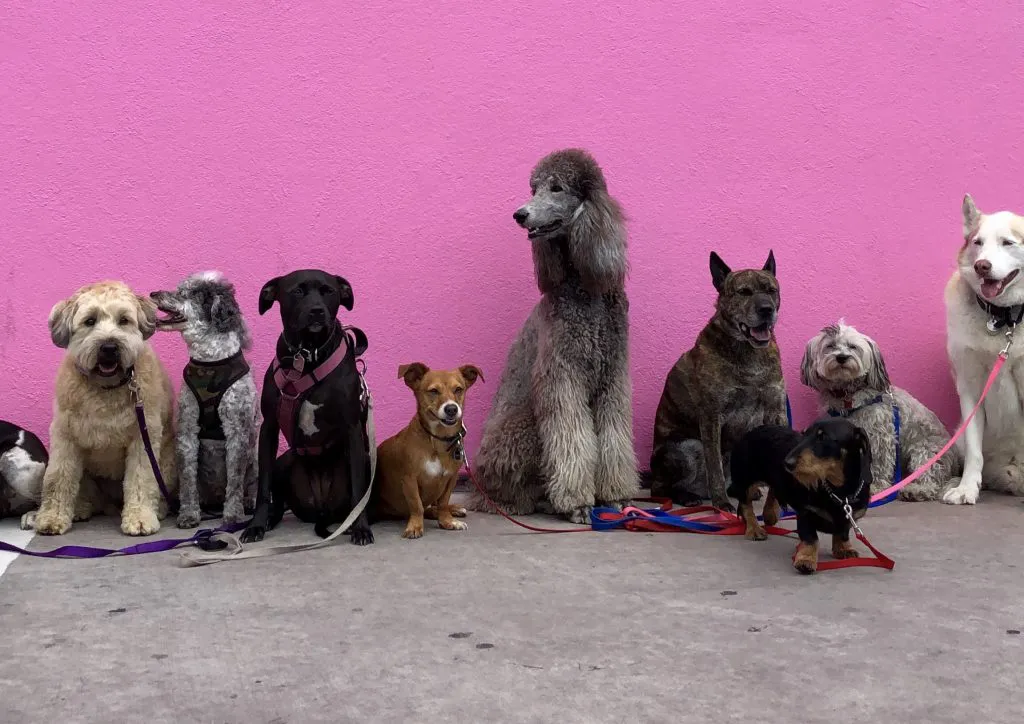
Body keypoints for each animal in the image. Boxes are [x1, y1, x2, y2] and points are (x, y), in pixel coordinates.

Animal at [149, 272, 258, 528]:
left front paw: (233, 515)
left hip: (254, 456)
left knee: (250, 482)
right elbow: (188, 478)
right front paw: (189, 514)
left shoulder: (237, 430)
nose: (153, 293)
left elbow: (235, 480)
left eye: (184, 293)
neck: (210, 361)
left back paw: (249, 502)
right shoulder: (188, 428)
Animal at [372, 362, 483, 536]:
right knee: (426, 509)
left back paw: (454, 509)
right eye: (433, 391)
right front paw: (415, 526)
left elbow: (443, 503)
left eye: (458, 389)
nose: (452, 408)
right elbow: (417, 505)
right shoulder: (409, 480)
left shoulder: (451, 478)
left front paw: (447, 521)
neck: (438, 440)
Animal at [466, 148, 638, 520]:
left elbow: (614, 437)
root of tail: (478, 485)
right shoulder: (562, 378)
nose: (520, 214)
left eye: (557, 187)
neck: (585, 290)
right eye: (533, 188)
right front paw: (578, 503)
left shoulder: (612, 378)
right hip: (523, 426)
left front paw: (617, 495)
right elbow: (572, 438)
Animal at [651, 251, 786, 512]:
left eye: (771, 290)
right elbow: (715, 468)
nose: (766, 309)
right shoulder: (712, 415)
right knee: (660, 489)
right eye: (744, 292)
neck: (748, 352)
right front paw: (721, 503)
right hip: (685, 447)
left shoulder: (775, 410)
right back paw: (687, 496)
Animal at [798, 319, 958, 501]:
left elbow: (879, 464)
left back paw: (916, 490)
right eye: (830, 345)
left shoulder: (879, 436)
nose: (841, 357)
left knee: (930, 478)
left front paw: (875, 486)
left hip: (926, 451)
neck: (847, 396)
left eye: (852, 346)